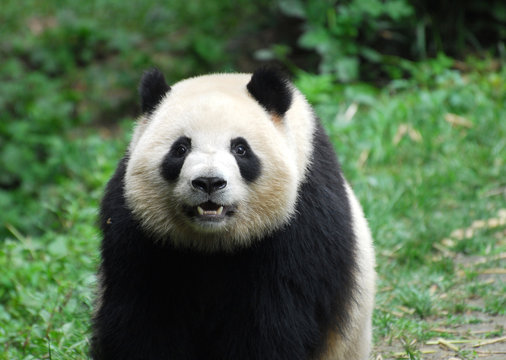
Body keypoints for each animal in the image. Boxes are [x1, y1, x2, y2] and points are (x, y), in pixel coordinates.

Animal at [91, 68, 376, 360]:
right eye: (180, 148)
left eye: (240, 149)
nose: (209, 182)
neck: (214, 242)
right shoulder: (138, 226)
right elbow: (142, 312)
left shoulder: (304, 217)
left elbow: (275, 318)